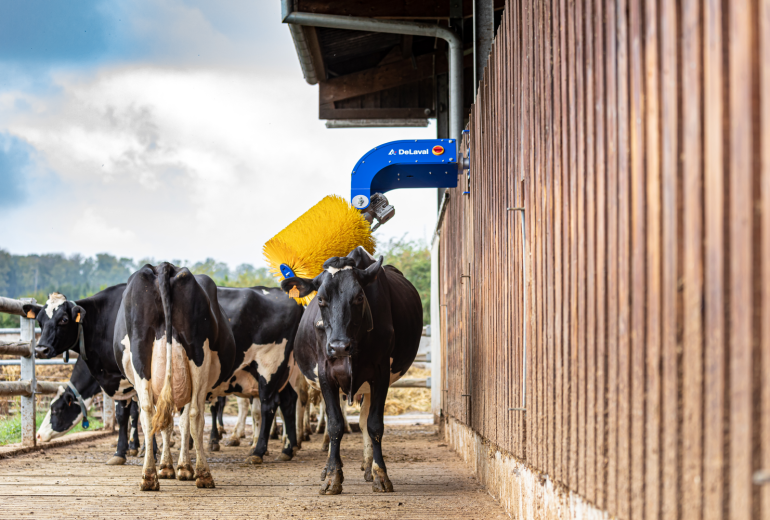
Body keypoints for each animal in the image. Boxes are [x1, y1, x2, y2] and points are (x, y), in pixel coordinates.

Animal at [280, 248, 420, 496]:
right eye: (320, 299)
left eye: (359, 297)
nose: (338, 346)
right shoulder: (325, 374)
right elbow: (335, 423)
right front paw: (332, 476)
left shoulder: (380, 374)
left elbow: (374, 424)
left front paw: (380, 474)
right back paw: (328, 467)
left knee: (364, 421)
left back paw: (368, 465)